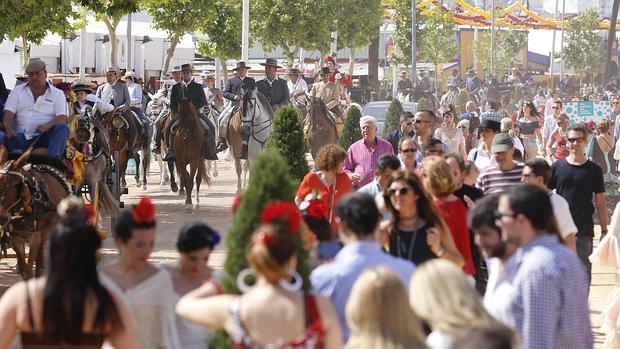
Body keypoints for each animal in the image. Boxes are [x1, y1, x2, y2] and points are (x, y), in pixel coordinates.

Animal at [0, 146, 71, 278]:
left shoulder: (35, 236)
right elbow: (24, 268)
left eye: (16, 185)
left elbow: (29, 269)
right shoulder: (15, 237)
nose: (2, 217)